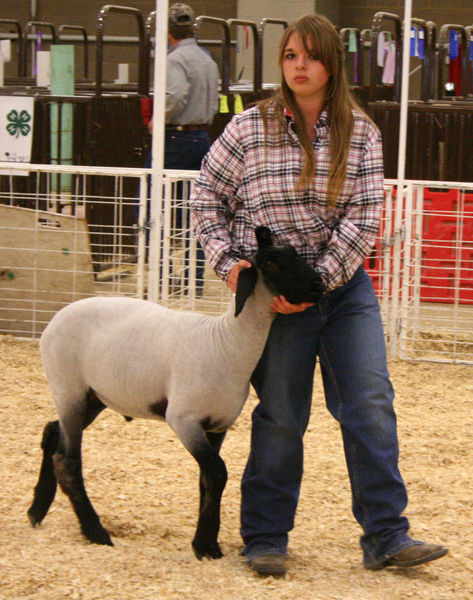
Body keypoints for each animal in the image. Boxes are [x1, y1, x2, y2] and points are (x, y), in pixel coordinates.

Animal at [26, 224, 324, 556]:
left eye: (295, 254)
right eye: (271, 262)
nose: (319, 284)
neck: (226, 342)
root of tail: (55, 319)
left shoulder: (218, 425)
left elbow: (208, 479)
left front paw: (207, 542)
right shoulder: (183, 419)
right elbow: (218, 473)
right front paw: (205, 544)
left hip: (93, 396)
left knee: (52, 432)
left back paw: (37, 509)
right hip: (69, 388)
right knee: (67, 461)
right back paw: (95, 531)